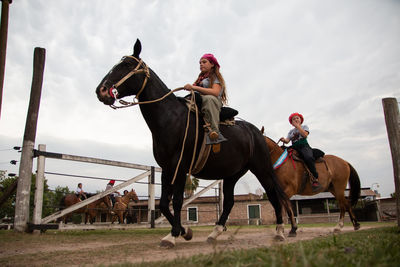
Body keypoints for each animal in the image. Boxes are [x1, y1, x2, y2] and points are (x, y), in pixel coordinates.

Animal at [97, 38, 290, 248]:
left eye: (126, 65)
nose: (101, 90)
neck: (171, 119)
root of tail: (257, 133)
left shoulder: (180, 166)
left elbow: (177, 202)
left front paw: (174, 235)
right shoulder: (167, 169)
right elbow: (164, 203)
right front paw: (184, 231)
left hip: (261, 169)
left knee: (273, 196)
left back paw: (280, 231)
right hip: (232, 174)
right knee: (229, 202)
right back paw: (214, 233)